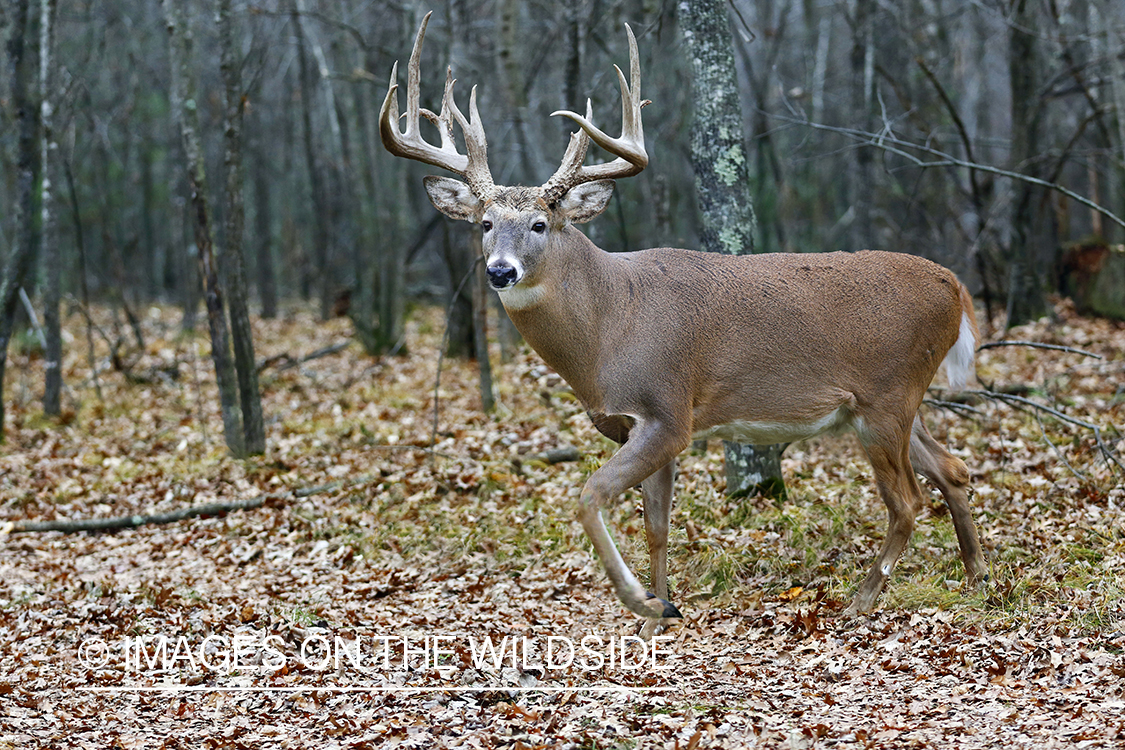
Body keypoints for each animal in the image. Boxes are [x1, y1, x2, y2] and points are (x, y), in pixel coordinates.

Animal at [378, 13, 985, 634]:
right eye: (484, 223)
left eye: (540, 223)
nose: (501, 271)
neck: (607, 329)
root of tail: (954, 287)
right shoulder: (634, 424)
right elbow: (657, 526)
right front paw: (658, 616)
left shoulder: (669, 412)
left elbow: (590, 495)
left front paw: (642, 602)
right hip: (893, 403)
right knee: (953, 468)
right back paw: (975, 578)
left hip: (886, 397)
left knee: (907, 501)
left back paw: (862, 601)